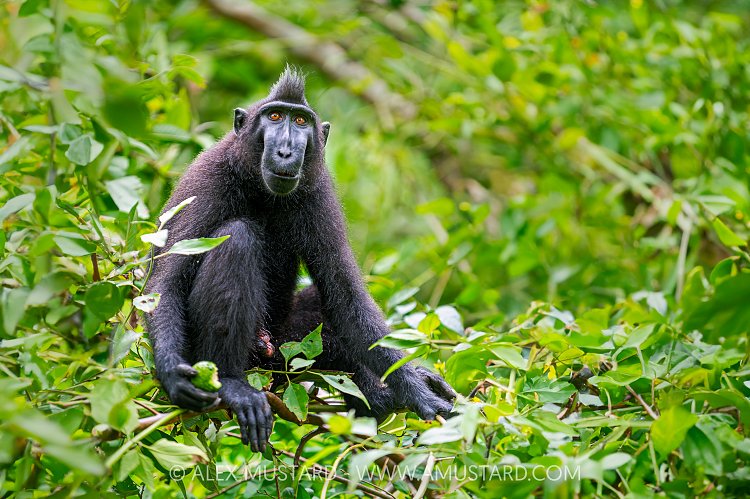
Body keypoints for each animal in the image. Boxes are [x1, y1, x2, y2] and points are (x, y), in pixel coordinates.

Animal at [144, 67, 455, 453]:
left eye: (302, 121)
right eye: (275, 117)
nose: (286, 150)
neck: (262, 189)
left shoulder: (318, 192)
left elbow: (346, 299)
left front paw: (415, 388)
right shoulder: (208, 179)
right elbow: (166, 282)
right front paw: (172, 372)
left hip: (286, 344)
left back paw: (378, 395)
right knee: (237, 238)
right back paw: (233, 384)